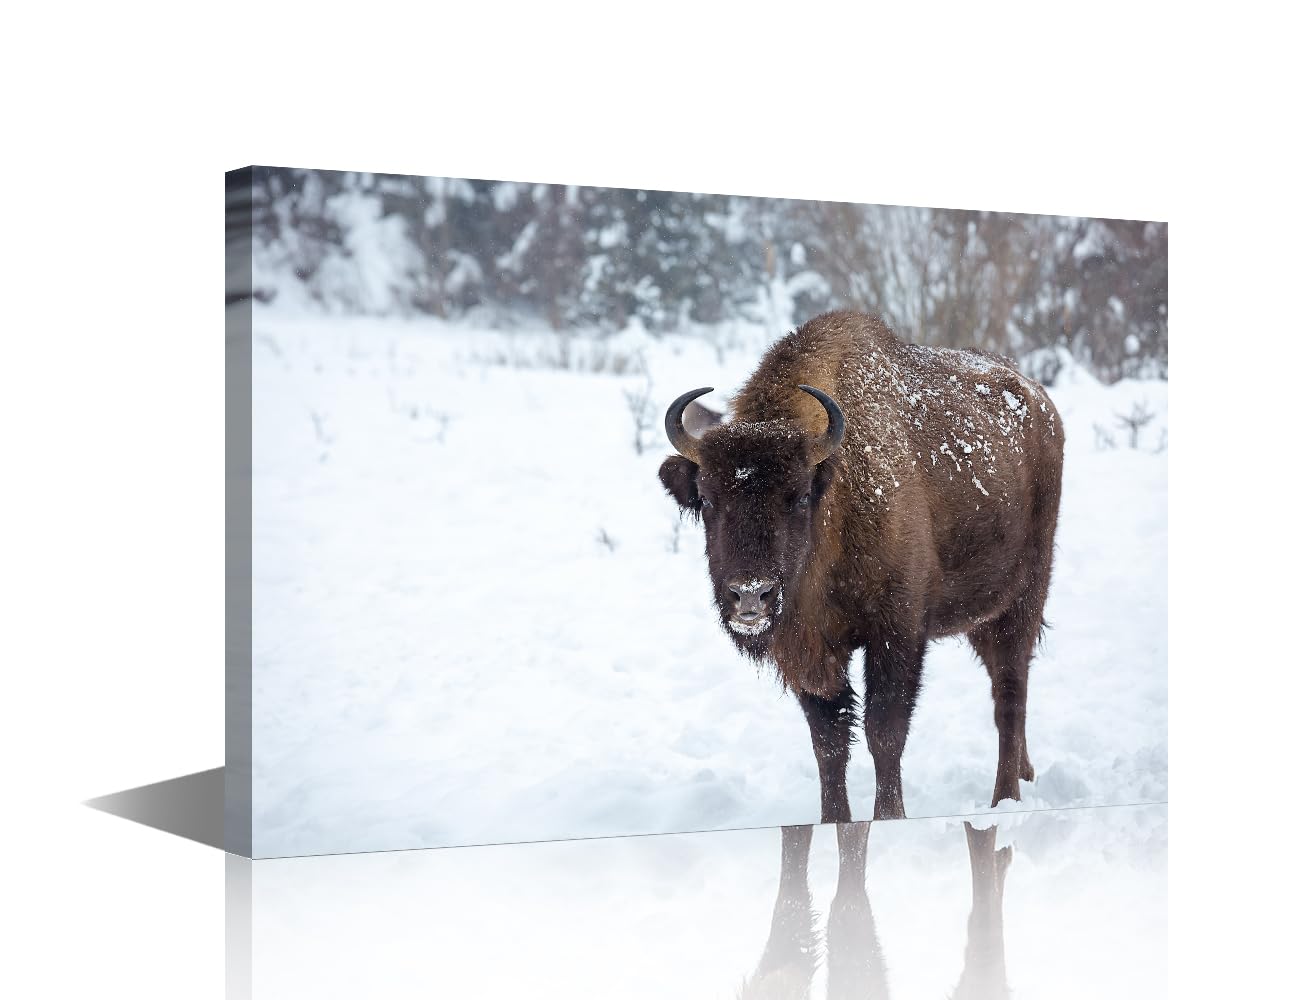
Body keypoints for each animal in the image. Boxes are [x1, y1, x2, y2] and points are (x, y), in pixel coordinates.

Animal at [659, 311, 1064, 821]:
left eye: (800, 496)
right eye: (708, 499)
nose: (750, 594)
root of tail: (1042, 403)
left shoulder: (896, 633)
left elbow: (883, 731)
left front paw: (890, 817)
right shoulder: (809, 650)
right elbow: (829, 742)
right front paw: (834, 820)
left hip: (1024, 596)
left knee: (1010, 691)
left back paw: (1004, 798)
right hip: (983, 615)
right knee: (1005, 684)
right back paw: (1024, 775)